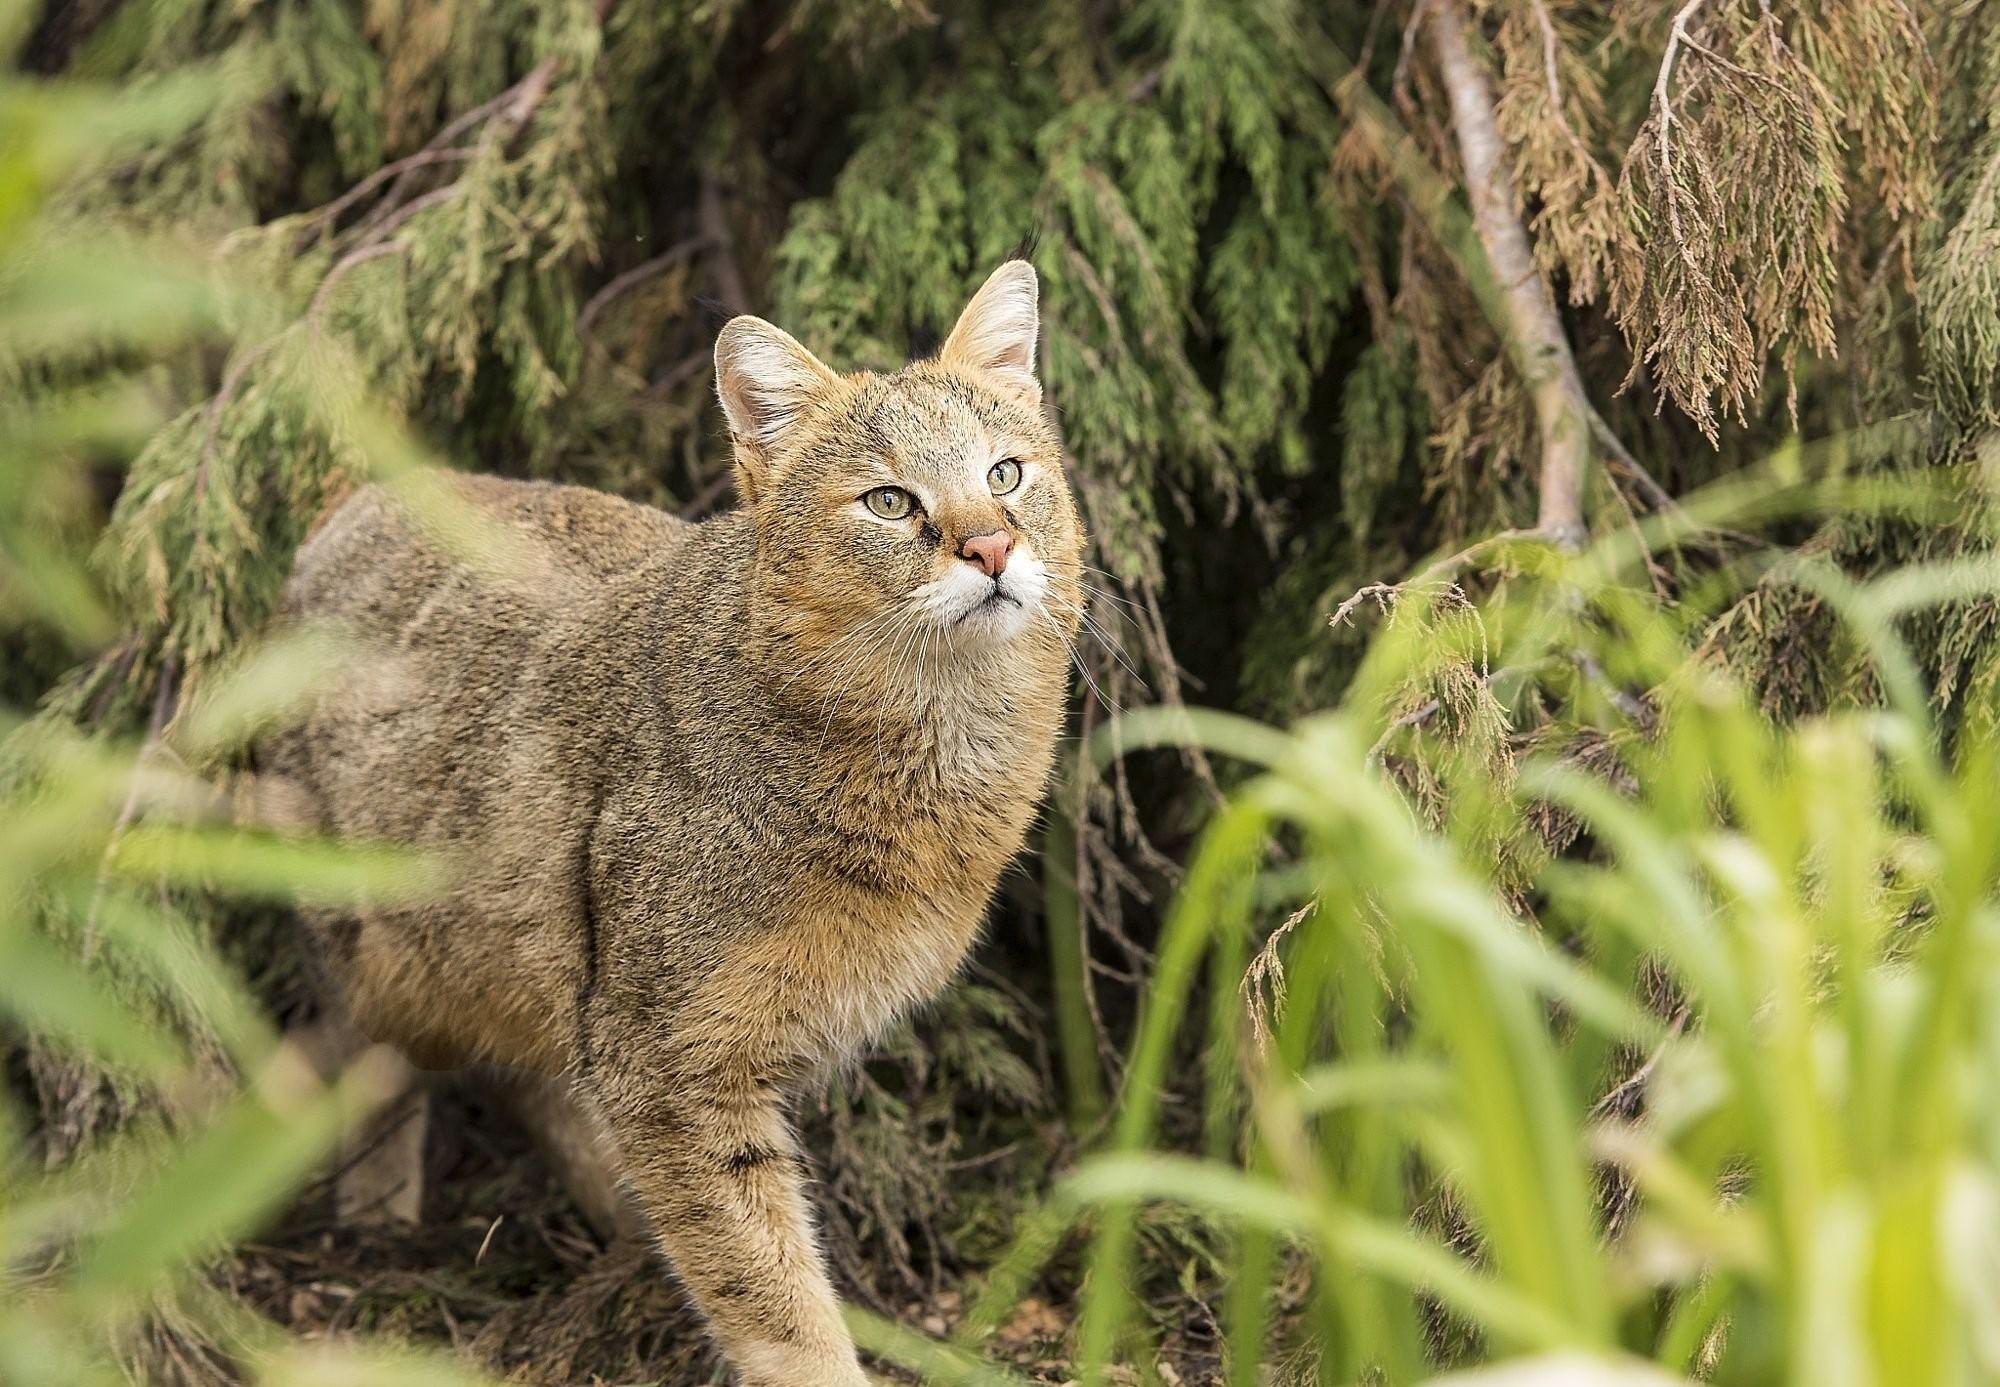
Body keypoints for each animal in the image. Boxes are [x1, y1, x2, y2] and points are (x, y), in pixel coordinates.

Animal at [262, 263, 1096, 1387]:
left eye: (1006, 474)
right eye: (889, 501)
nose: (993, 545)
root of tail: (350, 512)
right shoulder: (666, 1061)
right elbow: (769, 1288)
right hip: (387, 950)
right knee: (377, 1063)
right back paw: (380, 1213)